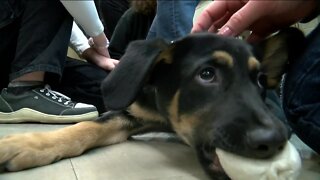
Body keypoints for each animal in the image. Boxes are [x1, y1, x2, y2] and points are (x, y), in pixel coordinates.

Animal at [0, 27, 304, 179]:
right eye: (207, 74)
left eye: (260, 81)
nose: (275, 140)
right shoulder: (130, 113)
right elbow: (87, 128)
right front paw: (25, 144)